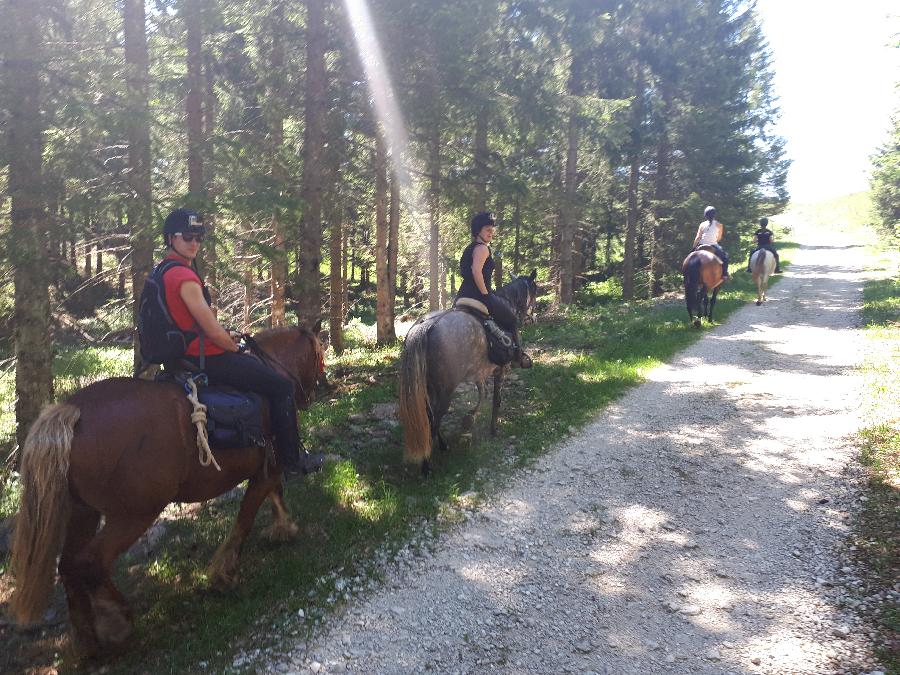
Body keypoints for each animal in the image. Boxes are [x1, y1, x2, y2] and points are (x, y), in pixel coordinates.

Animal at [8, 322, 326, 656]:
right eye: (320, 353)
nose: (316, 390)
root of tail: (73, 412)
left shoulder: (268, 468)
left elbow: (275, 495)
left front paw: (284, 528)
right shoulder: (268, 468)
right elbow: (246, 518)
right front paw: (223, 573)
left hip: (83, 510)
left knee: (69, 566)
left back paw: (88, 643)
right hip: (135, 513)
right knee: (91, 562)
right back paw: (118, 623)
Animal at [400, 270, 536, 476]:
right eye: (534, 291)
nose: (532, 317)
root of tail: (425, 326)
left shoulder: (479, 372)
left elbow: (482, 393)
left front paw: (469, 419)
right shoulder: (500, 370)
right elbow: (495, 400)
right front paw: (493, 430)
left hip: (427, 387)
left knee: (430, 416)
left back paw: (443, 446)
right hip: (445, 390)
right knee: (434, 420)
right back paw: (426, 466)